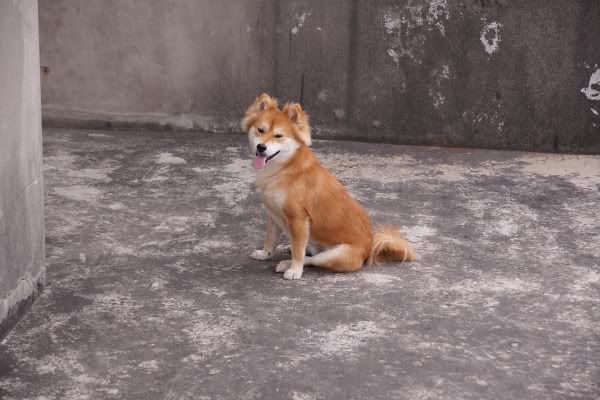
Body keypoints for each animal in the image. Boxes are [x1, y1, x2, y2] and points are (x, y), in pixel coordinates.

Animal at [241, 93, 415, 280]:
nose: (261, 147)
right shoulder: (273, 214)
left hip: (334, 255)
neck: (284, 168)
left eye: (278, 136)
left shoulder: (298, 219)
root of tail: (369, 251)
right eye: (260, 130)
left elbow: (298, 252)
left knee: (310, 258)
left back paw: (288, 263)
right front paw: (264, 254)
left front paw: (295, 270)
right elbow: (270, 239)